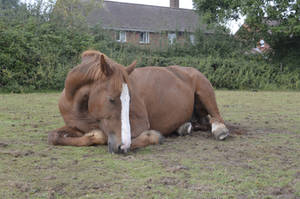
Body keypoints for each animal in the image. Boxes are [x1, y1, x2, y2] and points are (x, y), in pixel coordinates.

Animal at [48, 50, 229, 153]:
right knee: (203, 123)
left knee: (217, 118)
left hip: (205, 92)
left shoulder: (139, 123)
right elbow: (54, 136)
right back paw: (184, 127)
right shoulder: (75, 127)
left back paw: (219, 130)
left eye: (130, 100)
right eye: (111, 99)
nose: (123, 146)